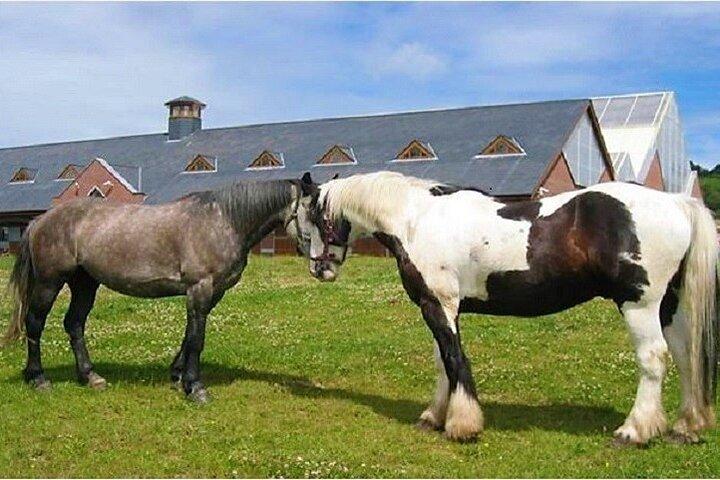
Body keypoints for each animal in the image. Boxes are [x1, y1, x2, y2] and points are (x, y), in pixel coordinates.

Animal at [3, 178, 311, 403]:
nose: (321, 264)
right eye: (316, 210)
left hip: (85, 283)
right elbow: (197, 340)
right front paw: (196, 387)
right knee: (35, 323)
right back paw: (38, 378)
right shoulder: (200, 289)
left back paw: (90, 376)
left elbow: (190, 335)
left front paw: (178, 377)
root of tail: (40, 221)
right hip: (49, 282)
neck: (223, 220)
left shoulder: (210, 294)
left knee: (74, 324)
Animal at [296, 171, 718, 446]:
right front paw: (434, 417)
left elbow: (455, 359)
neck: (417, 219)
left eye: (312, 218)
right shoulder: (440, 307)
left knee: (654, 359)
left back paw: (634, 431)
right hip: (668, 307)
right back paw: (686, 427)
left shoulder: (438, 306)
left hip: (640, 305)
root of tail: (676, 202)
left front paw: (462, 425)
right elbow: (442, 361)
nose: (319, 268)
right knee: (685, 356)